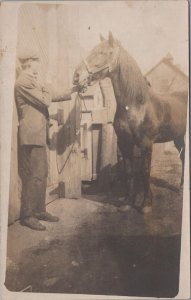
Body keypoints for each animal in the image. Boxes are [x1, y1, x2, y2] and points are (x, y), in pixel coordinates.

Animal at [73, 31, 188, 213]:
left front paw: (146, 204)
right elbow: (129, 171)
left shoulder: (146, 144)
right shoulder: (124, 143)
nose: (77, 76)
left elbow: (144, 171)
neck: (136, 106)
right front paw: (128, 202)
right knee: (183, 157)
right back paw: (181, 186)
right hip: (178, 137)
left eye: (103, 53)